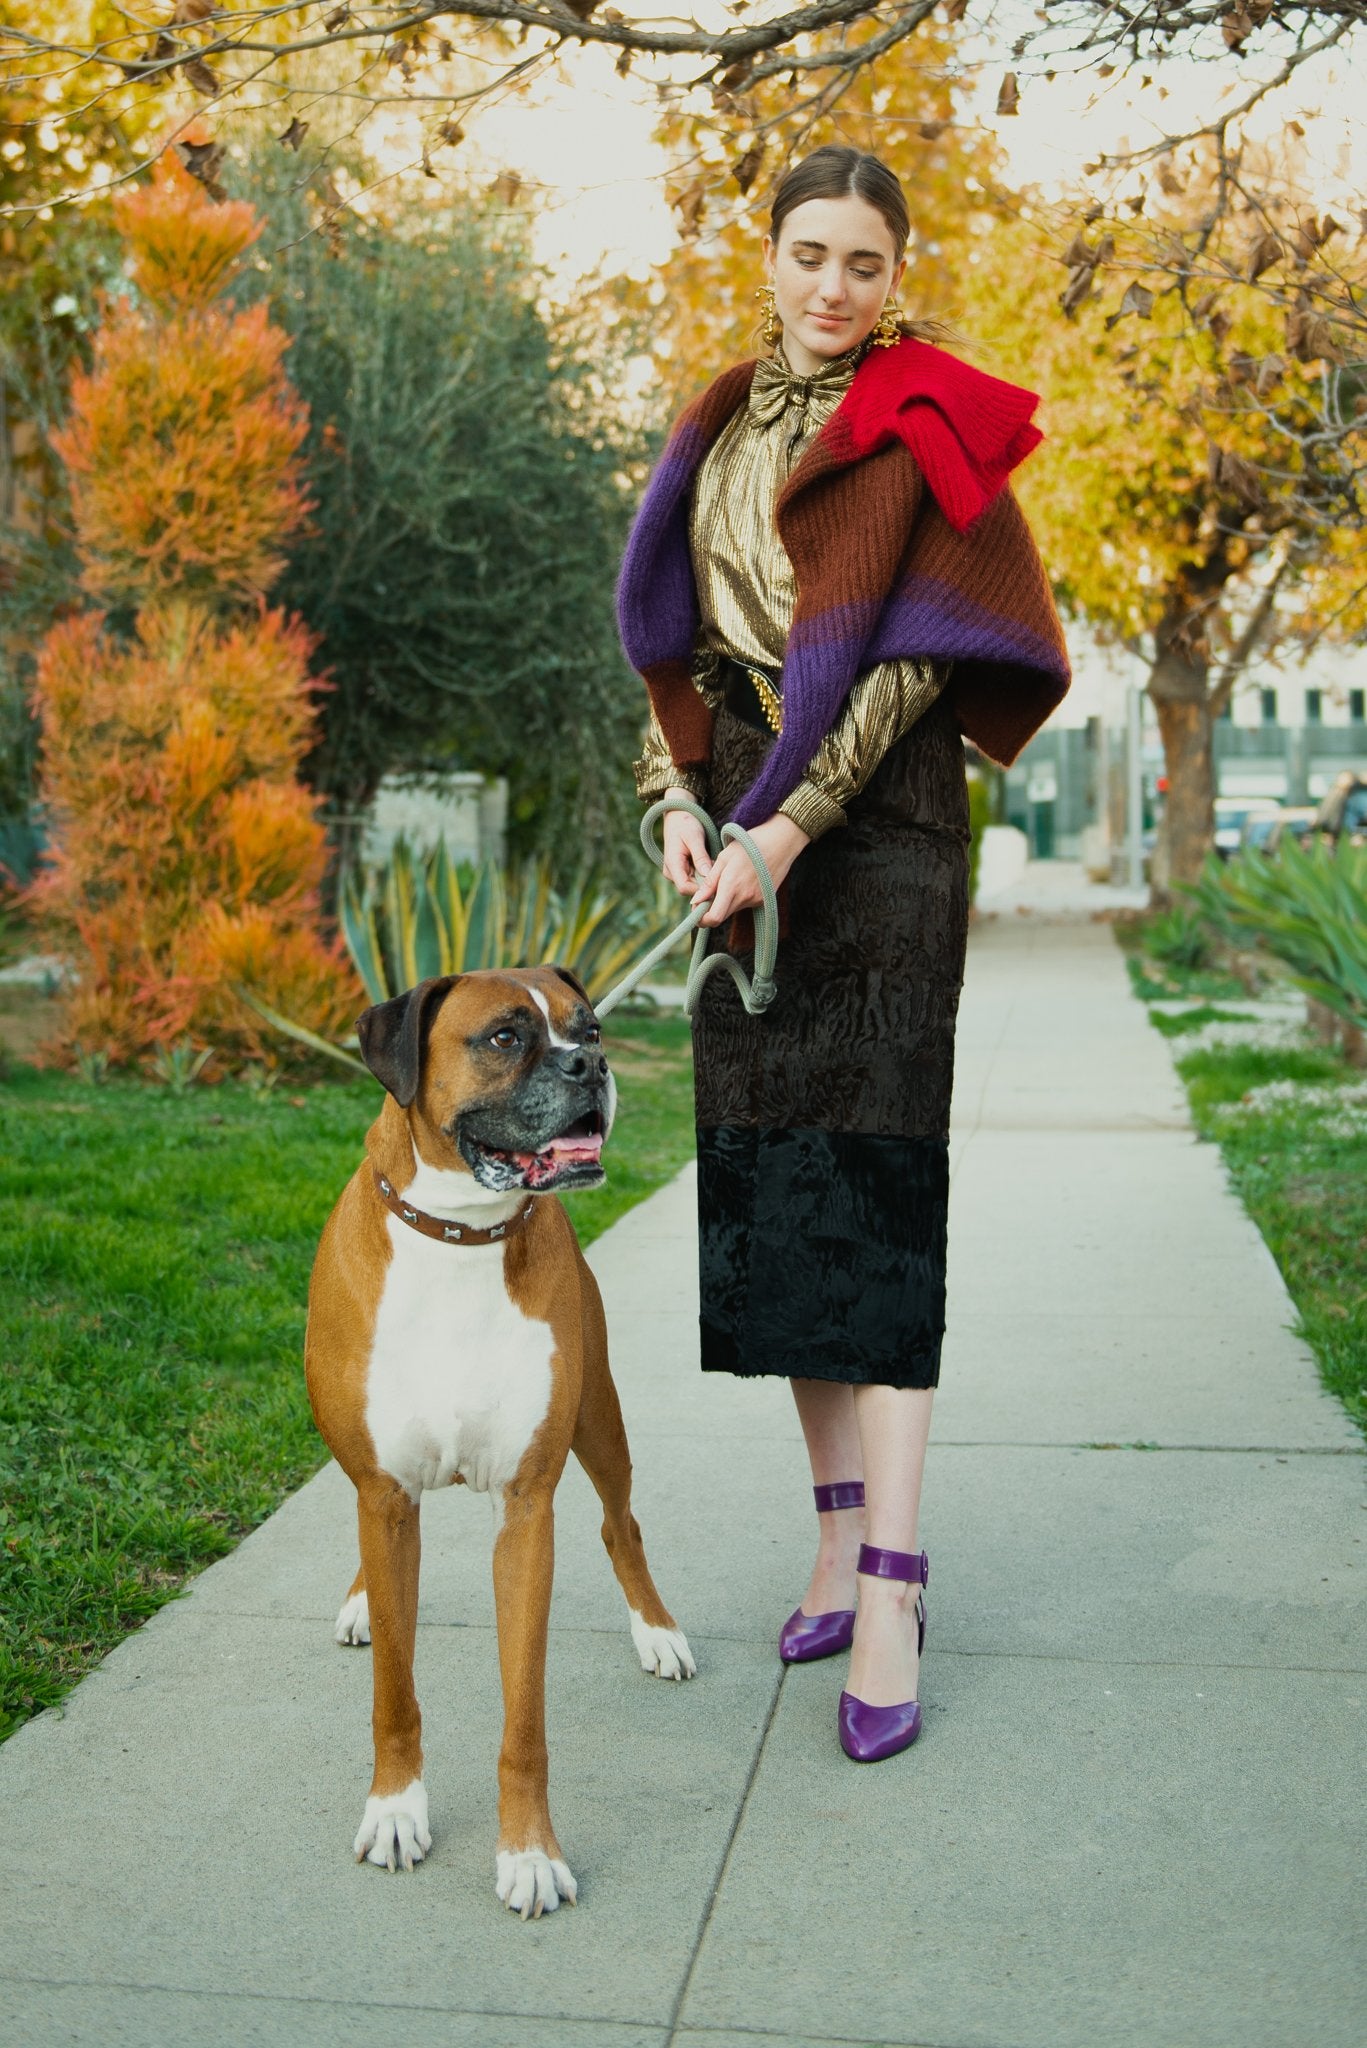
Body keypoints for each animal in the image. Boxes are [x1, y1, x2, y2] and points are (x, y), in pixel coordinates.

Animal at [307, 966, 696, 1908]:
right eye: (504, 1038)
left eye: (589, 1028)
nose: (591, 1064)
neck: (460, 1233)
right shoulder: (384, 1494)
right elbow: (394, 1691)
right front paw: (395, 1810)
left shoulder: (526, 1510)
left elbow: (523, 1717)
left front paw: (527, 1852)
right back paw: (360, 1598)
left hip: (601, 1421)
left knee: (620, 1525)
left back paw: (656, 1630)